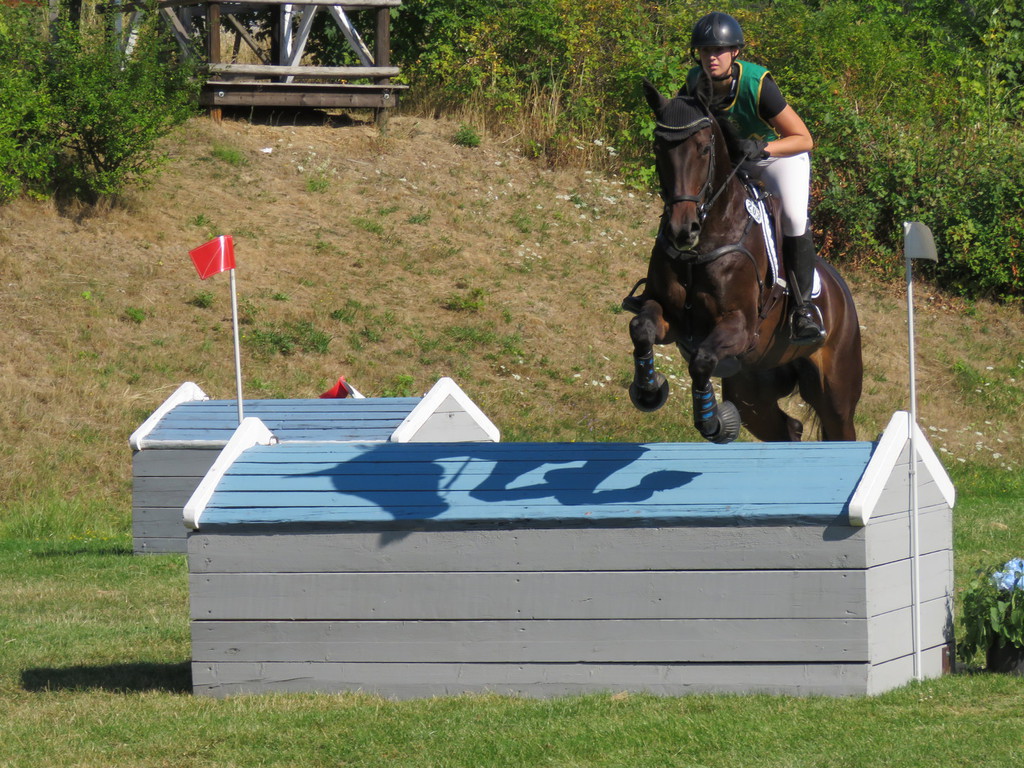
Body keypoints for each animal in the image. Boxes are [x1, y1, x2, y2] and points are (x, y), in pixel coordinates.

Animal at [624, 80, 862, 443]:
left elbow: (702, 360)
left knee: (839, 428)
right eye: (658, 146)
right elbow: (641, 328)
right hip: (753, 391)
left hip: (836, 397)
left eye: (703, 149)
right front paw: (649, 392)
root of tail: (843, 295)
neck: (704, 241)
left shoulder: (739, 328)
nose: (682, 230)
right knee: (788, 428)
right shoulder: (669, 318)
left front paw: (711, 420)